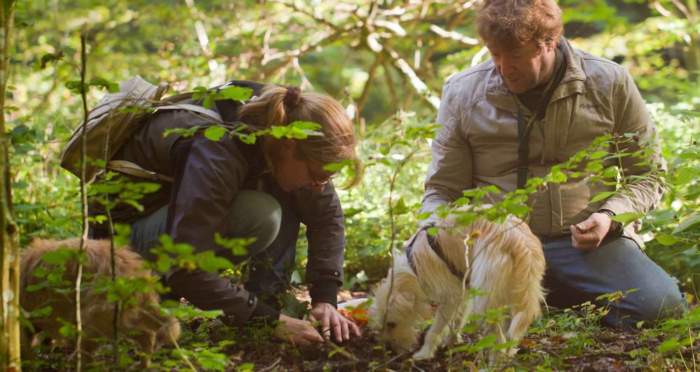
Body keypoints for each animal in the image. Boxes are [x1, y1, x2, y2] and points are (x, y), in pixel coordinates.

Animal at [372, 215, 548, 360]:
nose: (389, 350)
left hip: (484, 303)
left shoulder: (450, 298)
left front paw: (425, 353)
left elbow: (434, 330)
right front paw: (452, 341)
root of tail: (520, 241)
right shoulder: (464, 293)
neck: (413, 266)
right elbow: (458, 320)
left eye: (391, 324)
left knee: (499, 340)